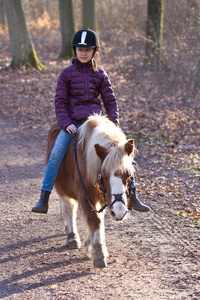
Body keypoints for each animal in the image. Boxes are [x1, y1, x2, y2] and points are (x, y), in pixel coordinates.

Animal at [46, 115, 135, 268]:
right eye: (104, 175)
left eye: (128, 175)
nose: (119, 213)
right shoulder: (86, 195)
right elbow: (95, 220)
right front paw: (98, 253)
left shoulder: (103, 198)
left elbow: (99, 219)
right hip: (62, 189)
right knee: (69, 209)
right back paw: (72, 237)